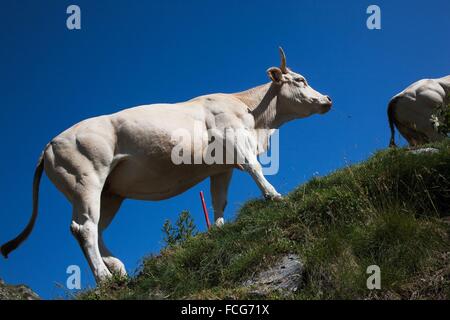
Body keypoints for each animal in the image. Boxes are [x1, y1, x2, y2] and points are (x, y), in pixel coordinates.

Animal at [0, 48, 330, 282]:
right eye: (300, 80)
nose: (327, 98)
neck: (254, 116)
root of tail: (49, 144)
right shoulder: (236, 141)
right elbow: (255, 169)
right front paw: (274, 196)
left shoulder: (221, 166)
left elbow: (218, 200)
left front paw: (219, 229)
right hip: (86, 180)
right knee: (83, 228)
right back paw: (104, 277)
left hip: (110, 193)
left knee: (96, 228)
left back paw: (117, 269)